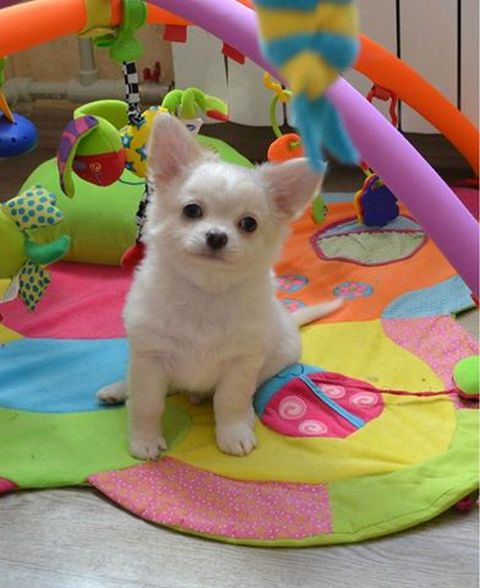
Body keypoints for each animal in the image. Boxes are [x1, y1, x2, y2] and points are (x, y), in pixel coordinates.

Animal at [97, 113, 343, 459]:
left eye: (249, 224)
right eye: (192, 210)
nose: (216, 236)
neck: (205, 292)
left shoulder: (241, 363)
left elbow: (230, 401)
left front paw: (234, 433)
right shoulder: (150, 357)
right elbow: (147, 403)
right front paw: (144, 440)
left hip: (277, 356)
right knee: (139, 382)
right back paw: (119, 390)